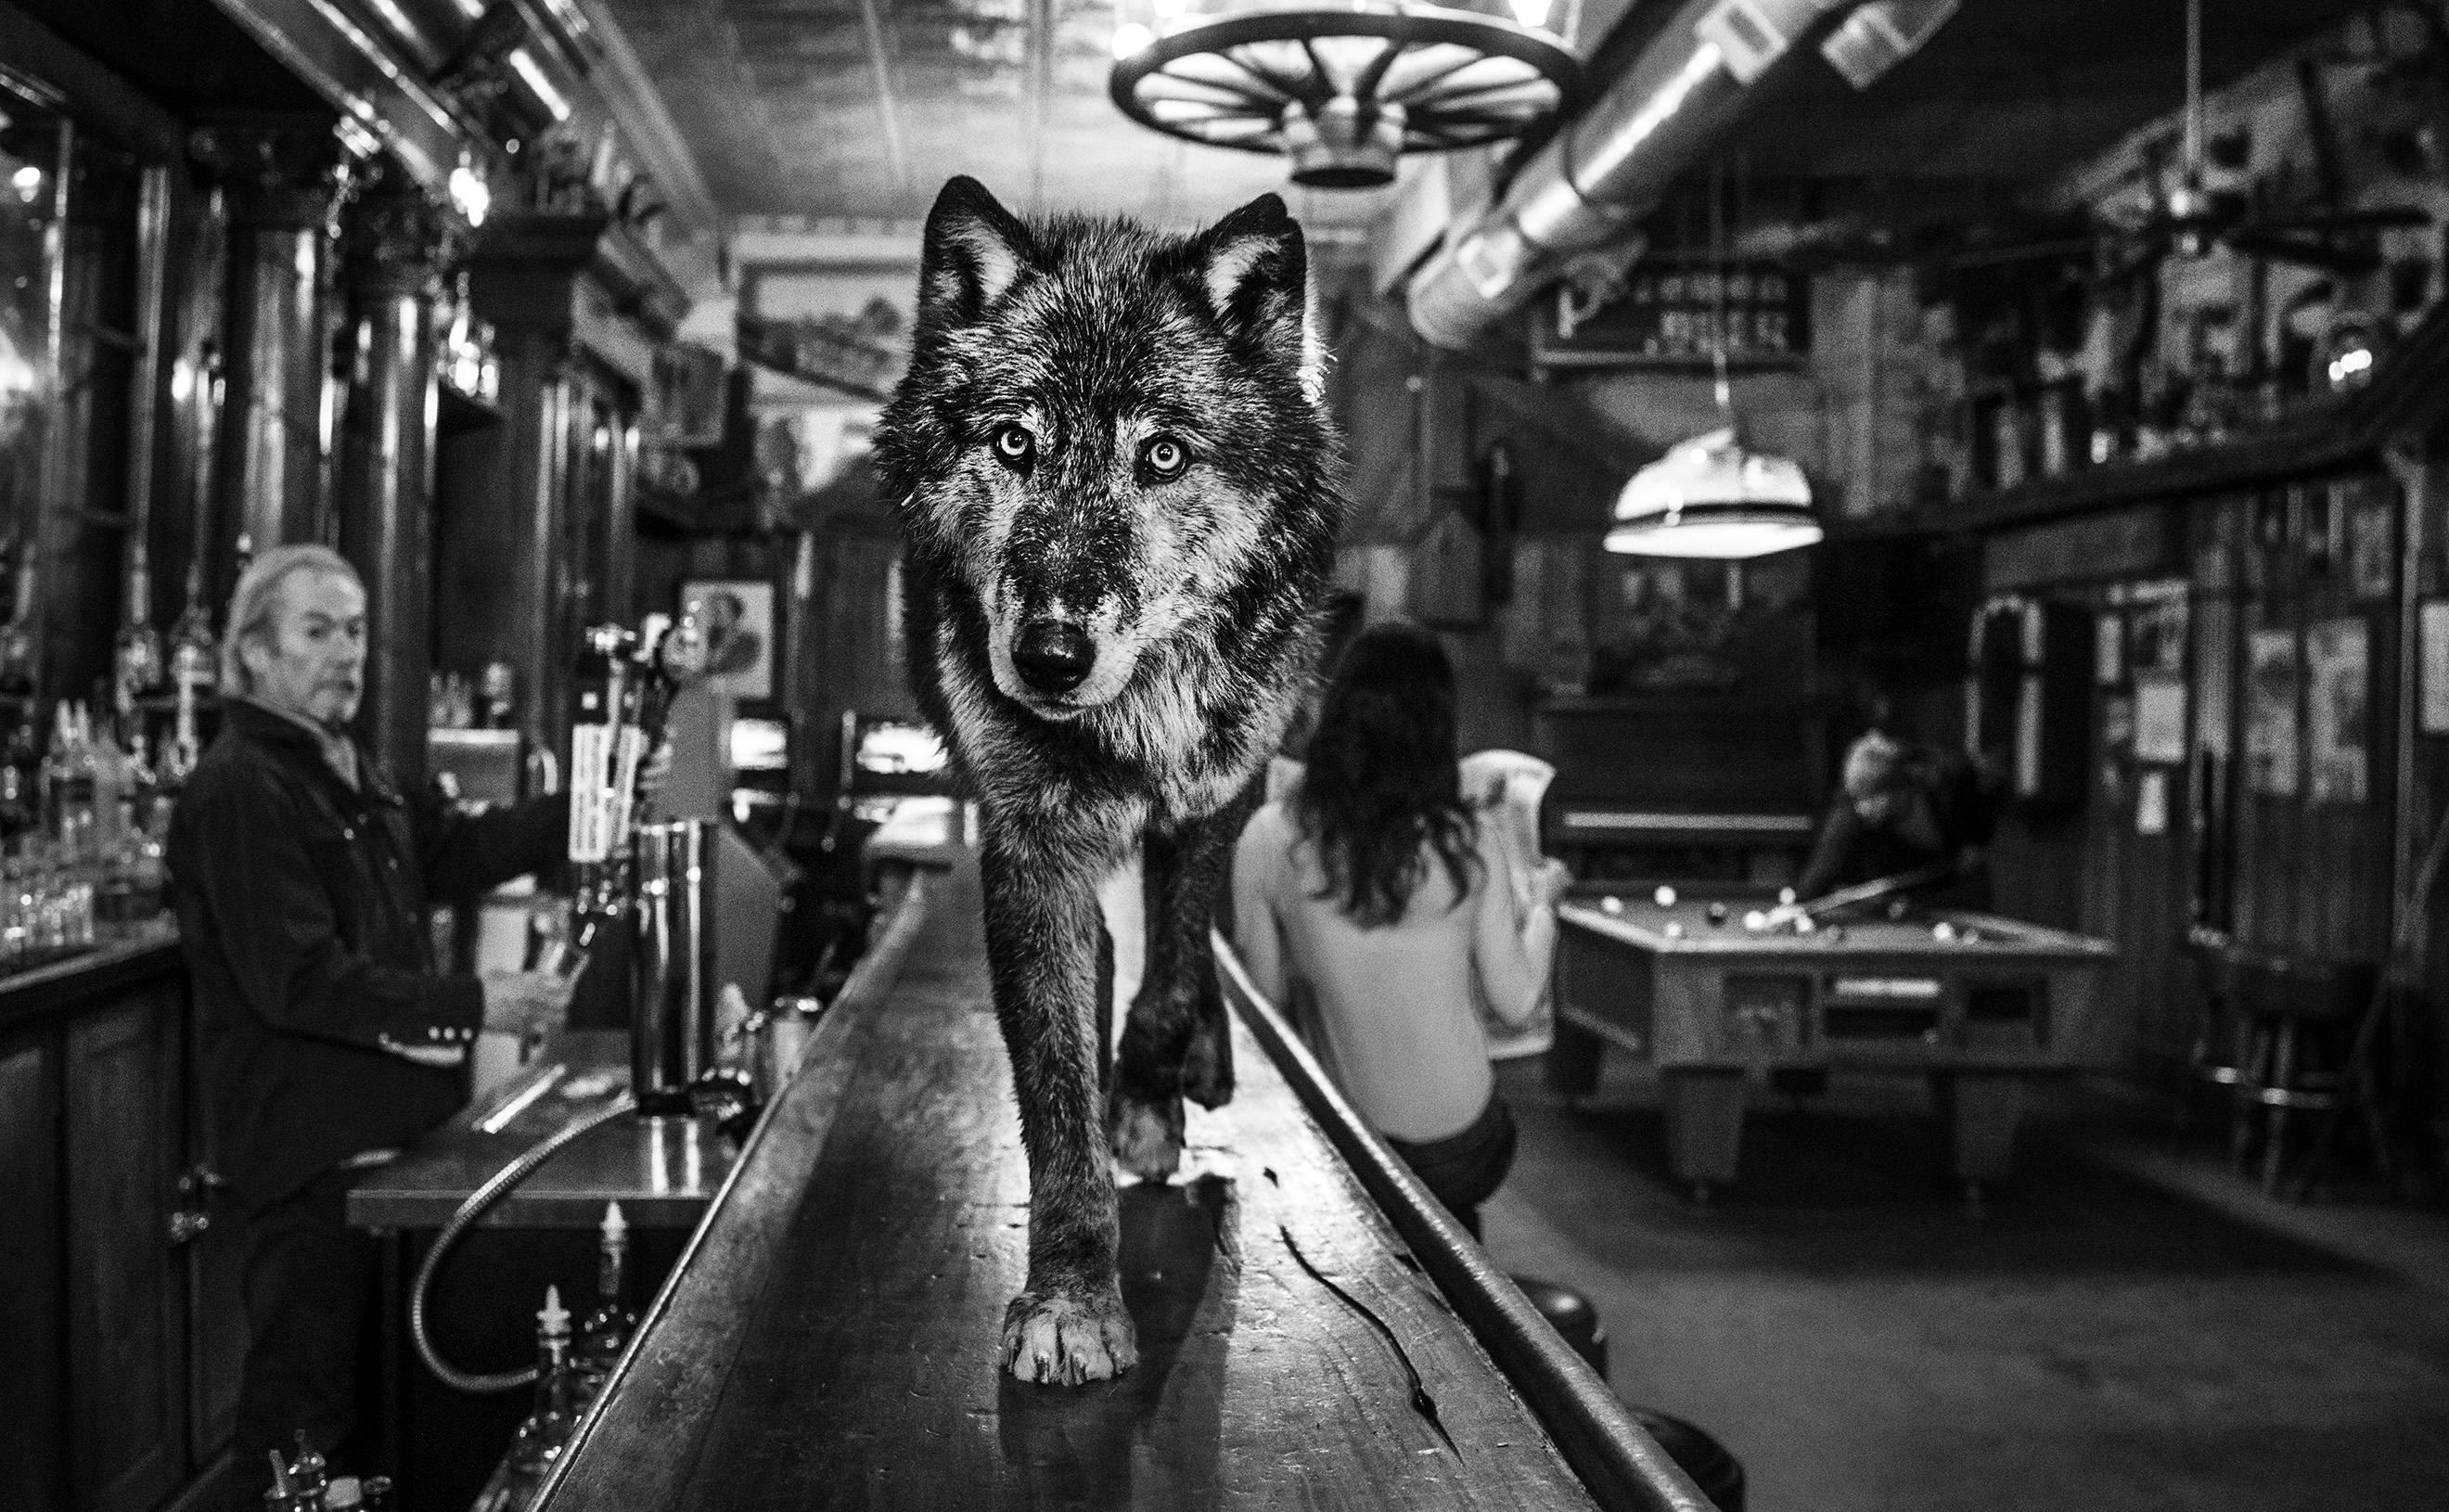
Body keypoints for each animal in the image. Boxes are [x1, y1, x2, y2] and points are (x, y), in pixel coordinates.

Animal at [874, 176, 1346, 1385]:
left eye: (1164, 456)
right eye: (1015, 441)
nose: (1047, 656)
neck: (1132, 720)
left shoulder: (1215, 800)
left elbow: (1174, 971)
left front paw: (1145, 1091)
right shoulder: (1031, 850)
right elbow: (1053, 1094)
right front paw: (1075, 1296)